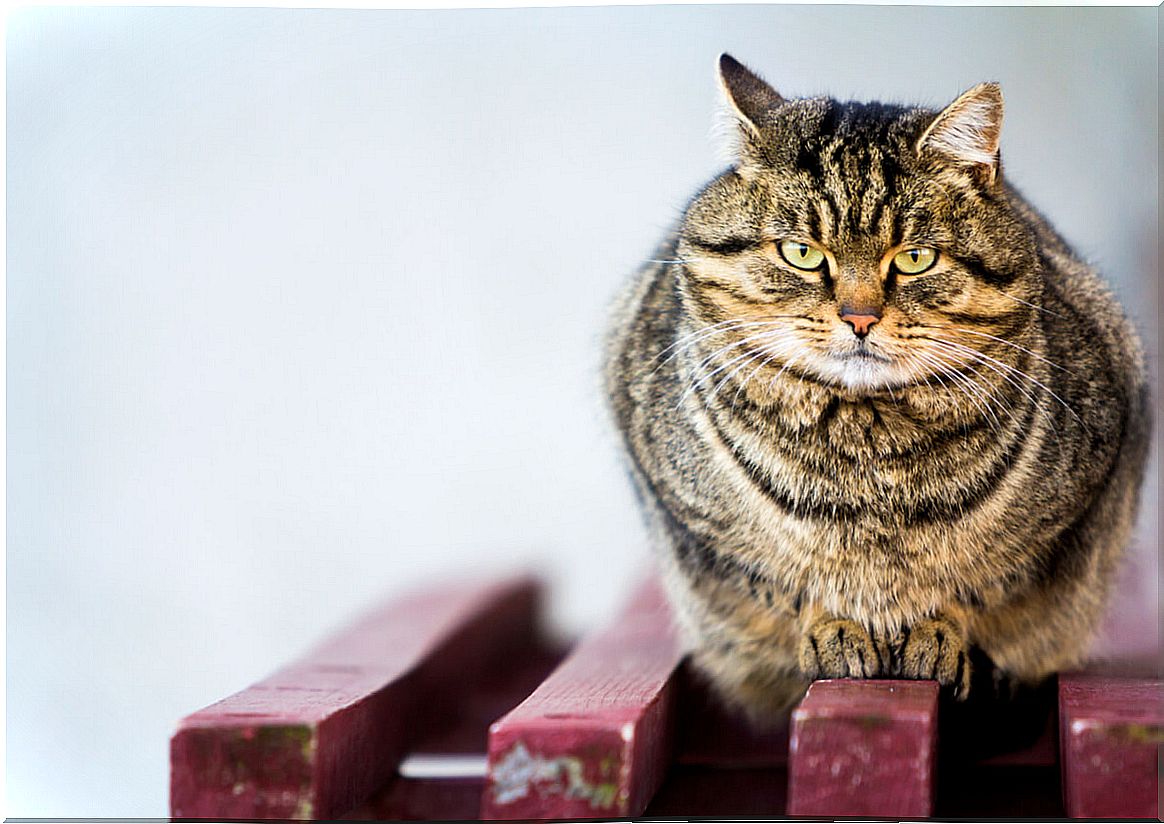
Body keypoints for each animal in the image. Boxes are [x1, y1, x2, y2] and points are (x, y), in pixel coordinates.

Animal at [605, 54, 1150, 721]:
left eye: (915, 258)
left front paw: (939, 631)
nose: (859, 318)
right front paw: (833, 628)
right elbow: (785, 584)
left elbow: (982, 587)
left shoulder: (1074, 512)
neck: (868, 442)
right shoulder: (697, 524)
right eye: (802, 252)